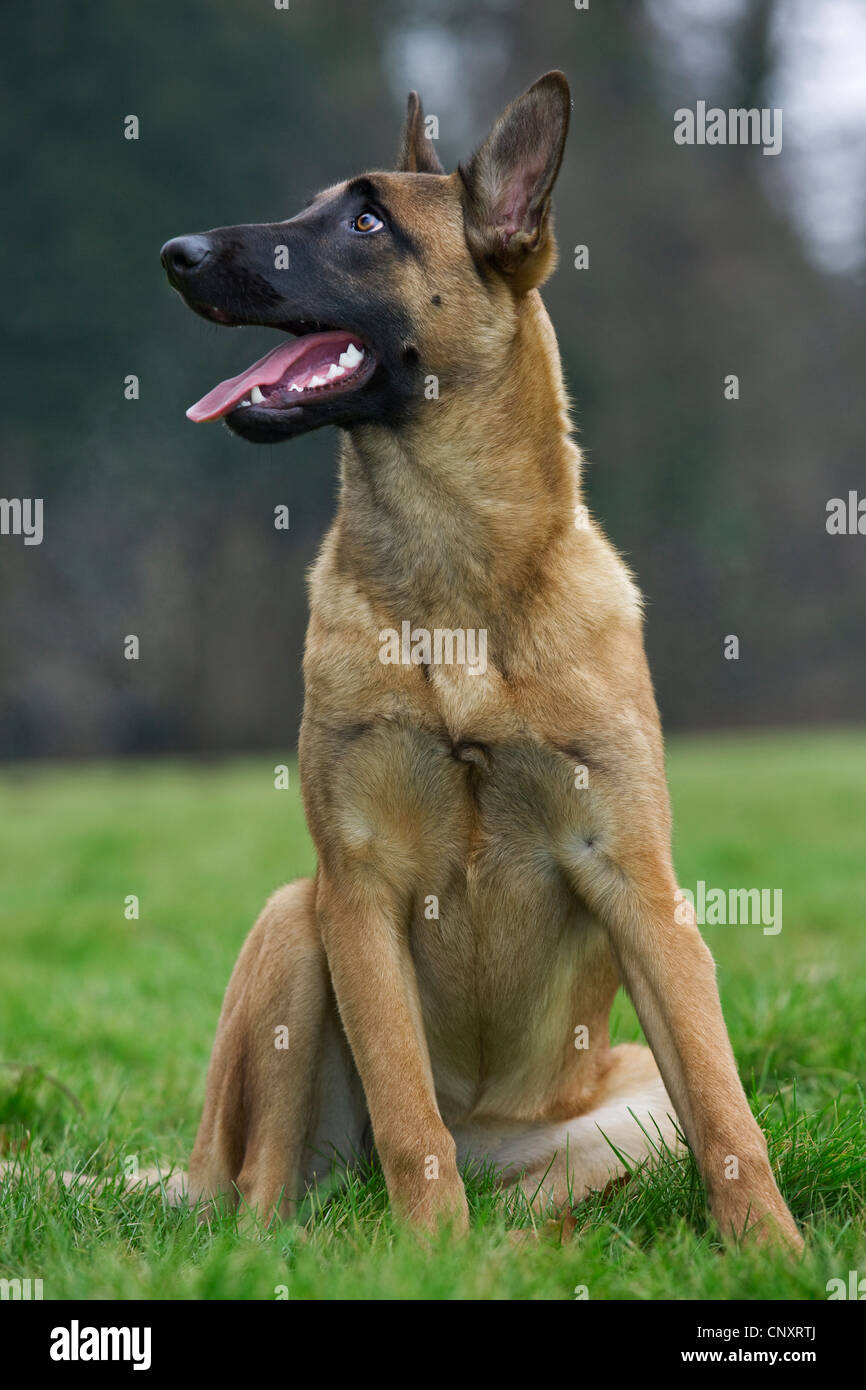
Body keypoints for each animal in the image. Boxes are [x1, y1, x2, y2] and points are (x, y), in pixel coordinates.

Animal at [156, 72, 801, 1247]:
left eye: (367, 222)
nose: (176, 252)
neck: (451, 573)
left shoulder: (636, 881)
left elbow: (726, 1107)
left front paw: (772, 1253)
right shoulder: (355, 885)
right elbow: (410, 1114)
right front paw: (429, 1258)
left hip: (619, 1112)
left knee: (567, 1198)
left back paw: (517, 1244)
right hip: (295, 922)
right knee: (270, 1194)